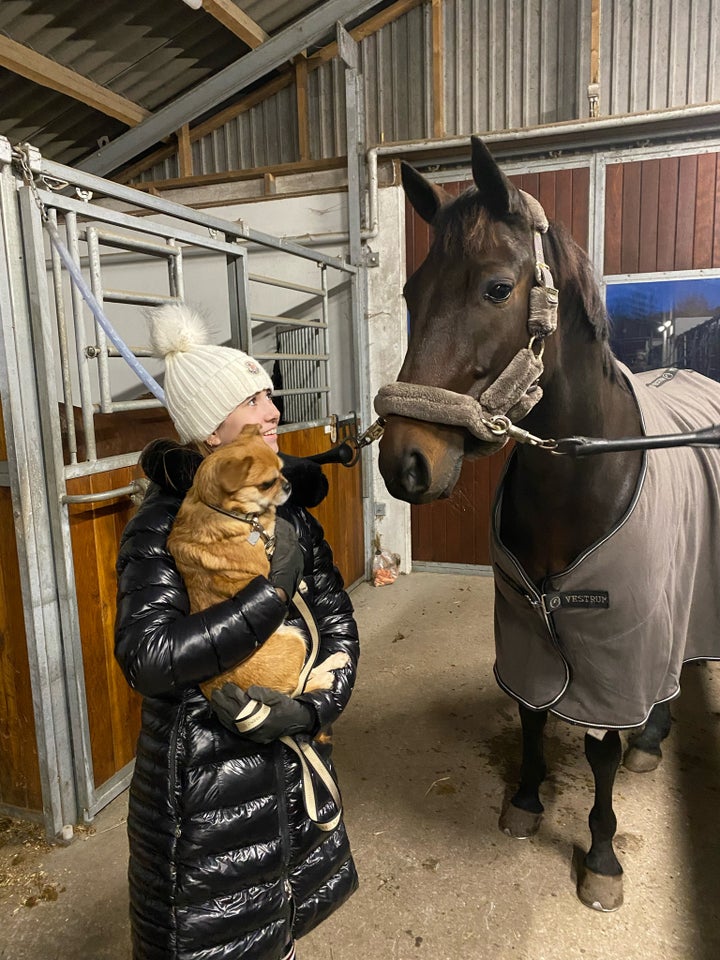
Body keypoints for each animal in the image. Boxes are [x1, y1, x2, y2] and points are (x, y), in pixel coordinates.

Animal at [376, 135, 720, 908]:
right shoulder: (525, 623)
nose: (405, 462)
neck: (580, 476)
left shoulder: (619, 638)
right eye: (410, 294)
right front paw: (527, 801)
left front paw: (601, 856)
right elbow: (532, 709)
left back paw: (652, 738)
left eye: (497, 288)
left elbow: (601, 746)